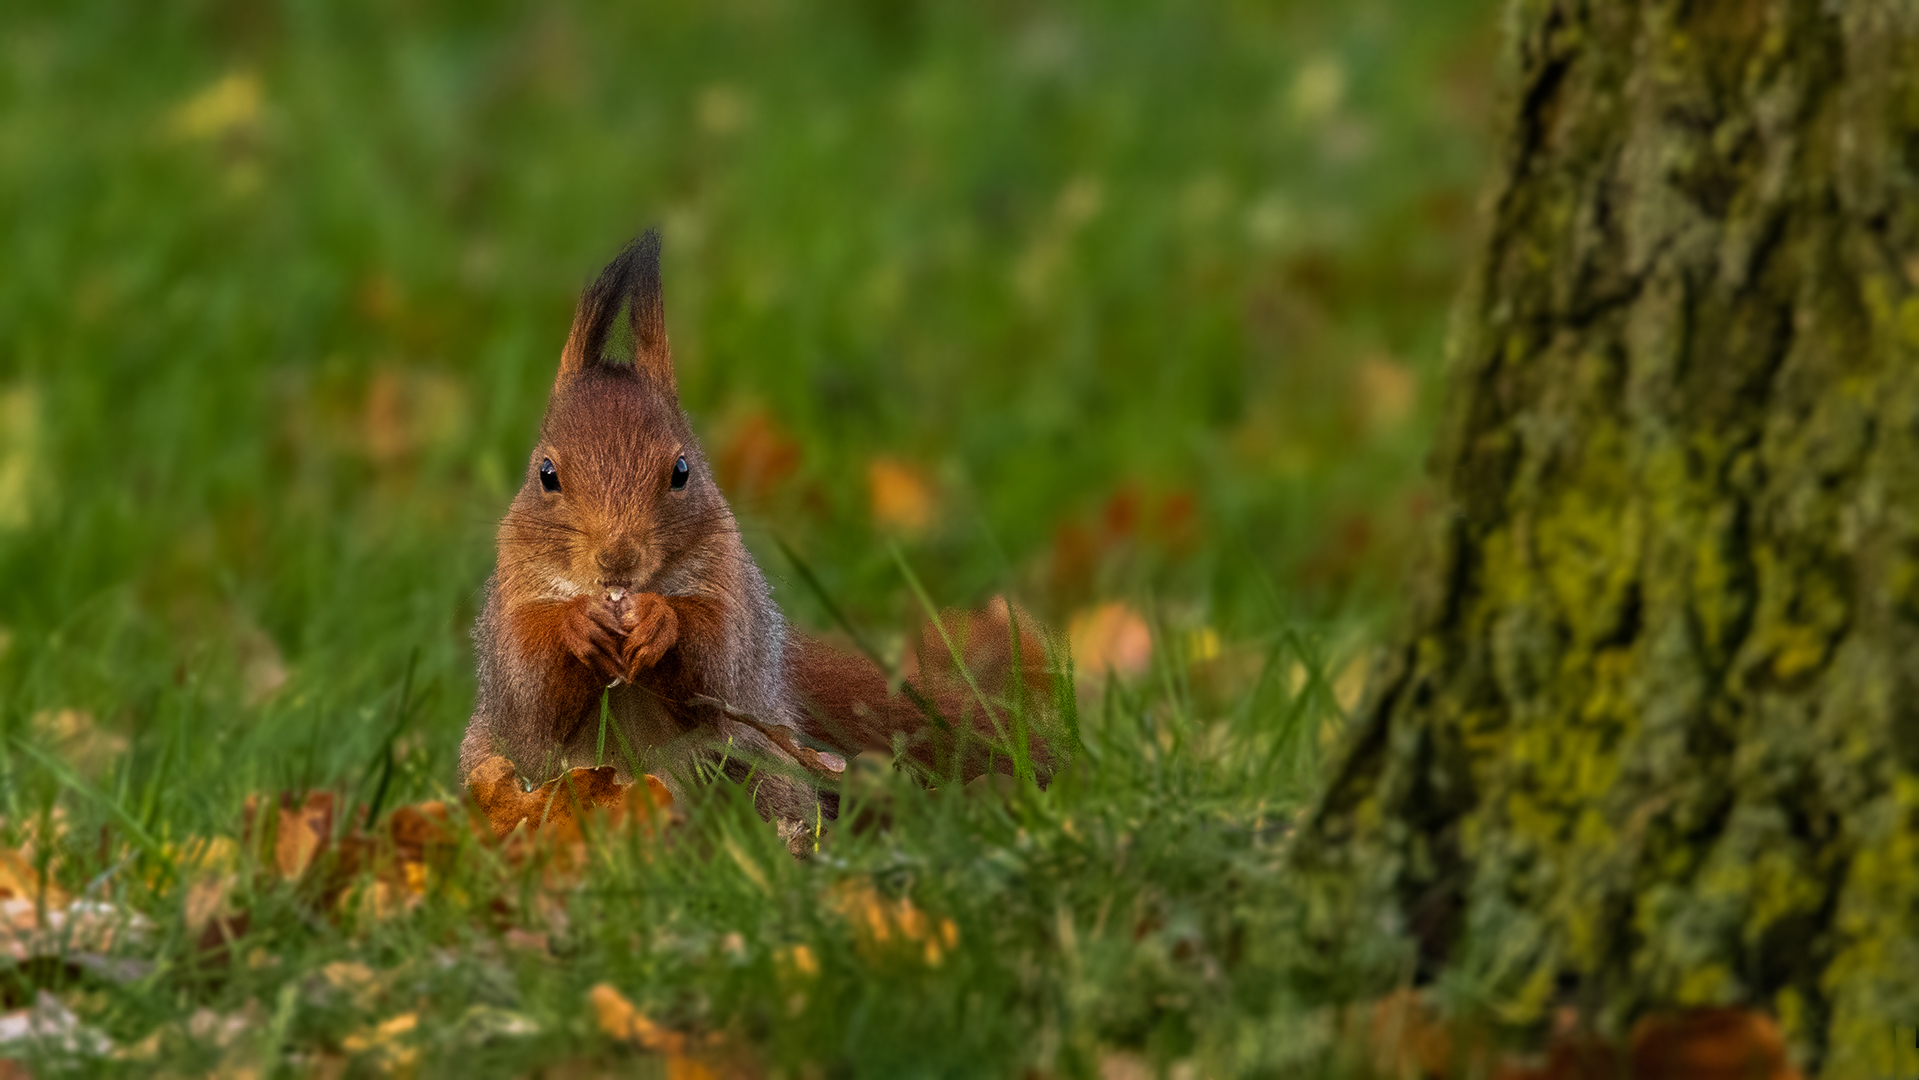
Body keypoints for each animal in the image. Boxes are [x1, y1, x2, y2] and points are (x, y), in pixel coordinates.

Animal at [464, 230, 1066, 855]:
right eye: (546, 474)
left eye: (682, 470)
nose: (618, 559)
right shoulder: (507, 615)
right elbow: (533, 692)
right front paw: (576, 625)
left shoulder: (733, 593)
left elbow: (716, 662)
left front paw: (661, 622)